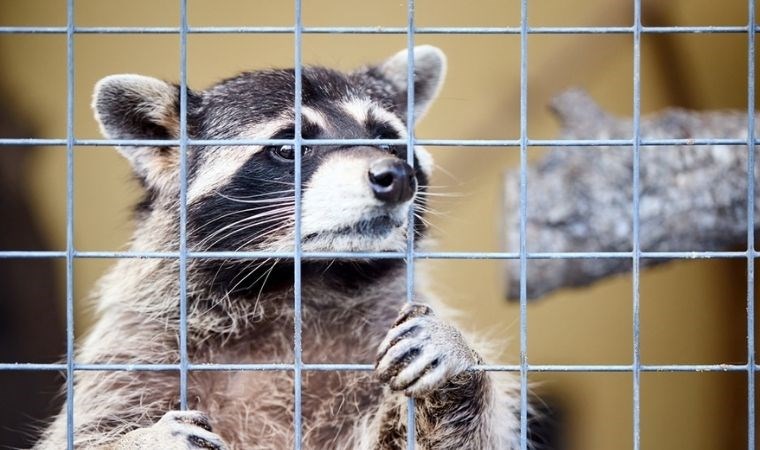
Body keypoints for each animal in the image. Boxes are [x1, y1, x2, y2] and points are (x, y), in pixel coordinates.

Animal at [35, 46, 524, 450]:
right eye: (289, 147)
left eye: (387, 139)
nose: (396, 176)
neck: (302, 282)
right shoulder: (138, 348)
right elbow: (81, 434)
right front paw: (146, 440)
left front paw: (455, 358)